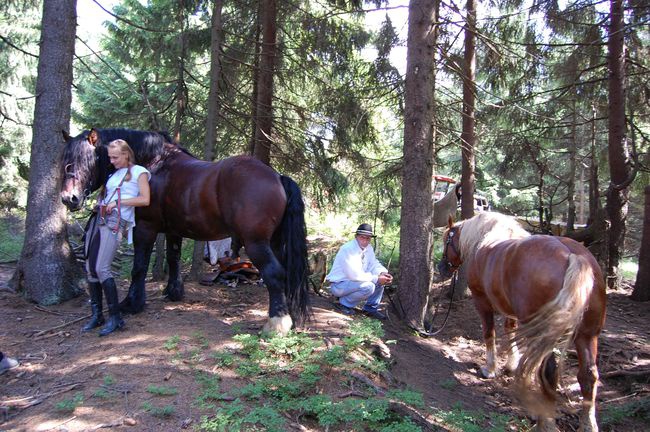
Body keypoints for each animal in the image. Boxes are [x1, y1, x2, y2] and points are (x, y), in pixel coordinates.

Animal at [59, 128, 308, 334]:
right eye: (65, 161)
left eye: (85, 160)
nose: (69, 199)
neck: (154, 165)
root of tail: (277, 177)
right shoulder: (173, 230)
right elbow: (173, 258)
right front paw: (173, 292)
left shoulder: (145, 228)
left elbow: (139, 267)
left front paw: (132, 303)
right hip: (275, 242)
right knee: (285, 273)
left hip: (256, 243)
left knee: (274, 273)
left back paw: (276, 323)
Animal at [438, 213, 604, 432]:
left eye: (446, 241)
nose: (441, 268)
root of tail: (573, 256)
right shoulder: (509, 309)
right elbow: (511, 330)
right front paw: (511, 364)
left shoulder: (482, 301)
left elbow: (489, 333)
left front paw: (490, 369)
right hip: (587, 334)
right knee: (588, 374)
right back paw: (588, 423)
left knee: (548, 372)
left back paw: (545, 420)